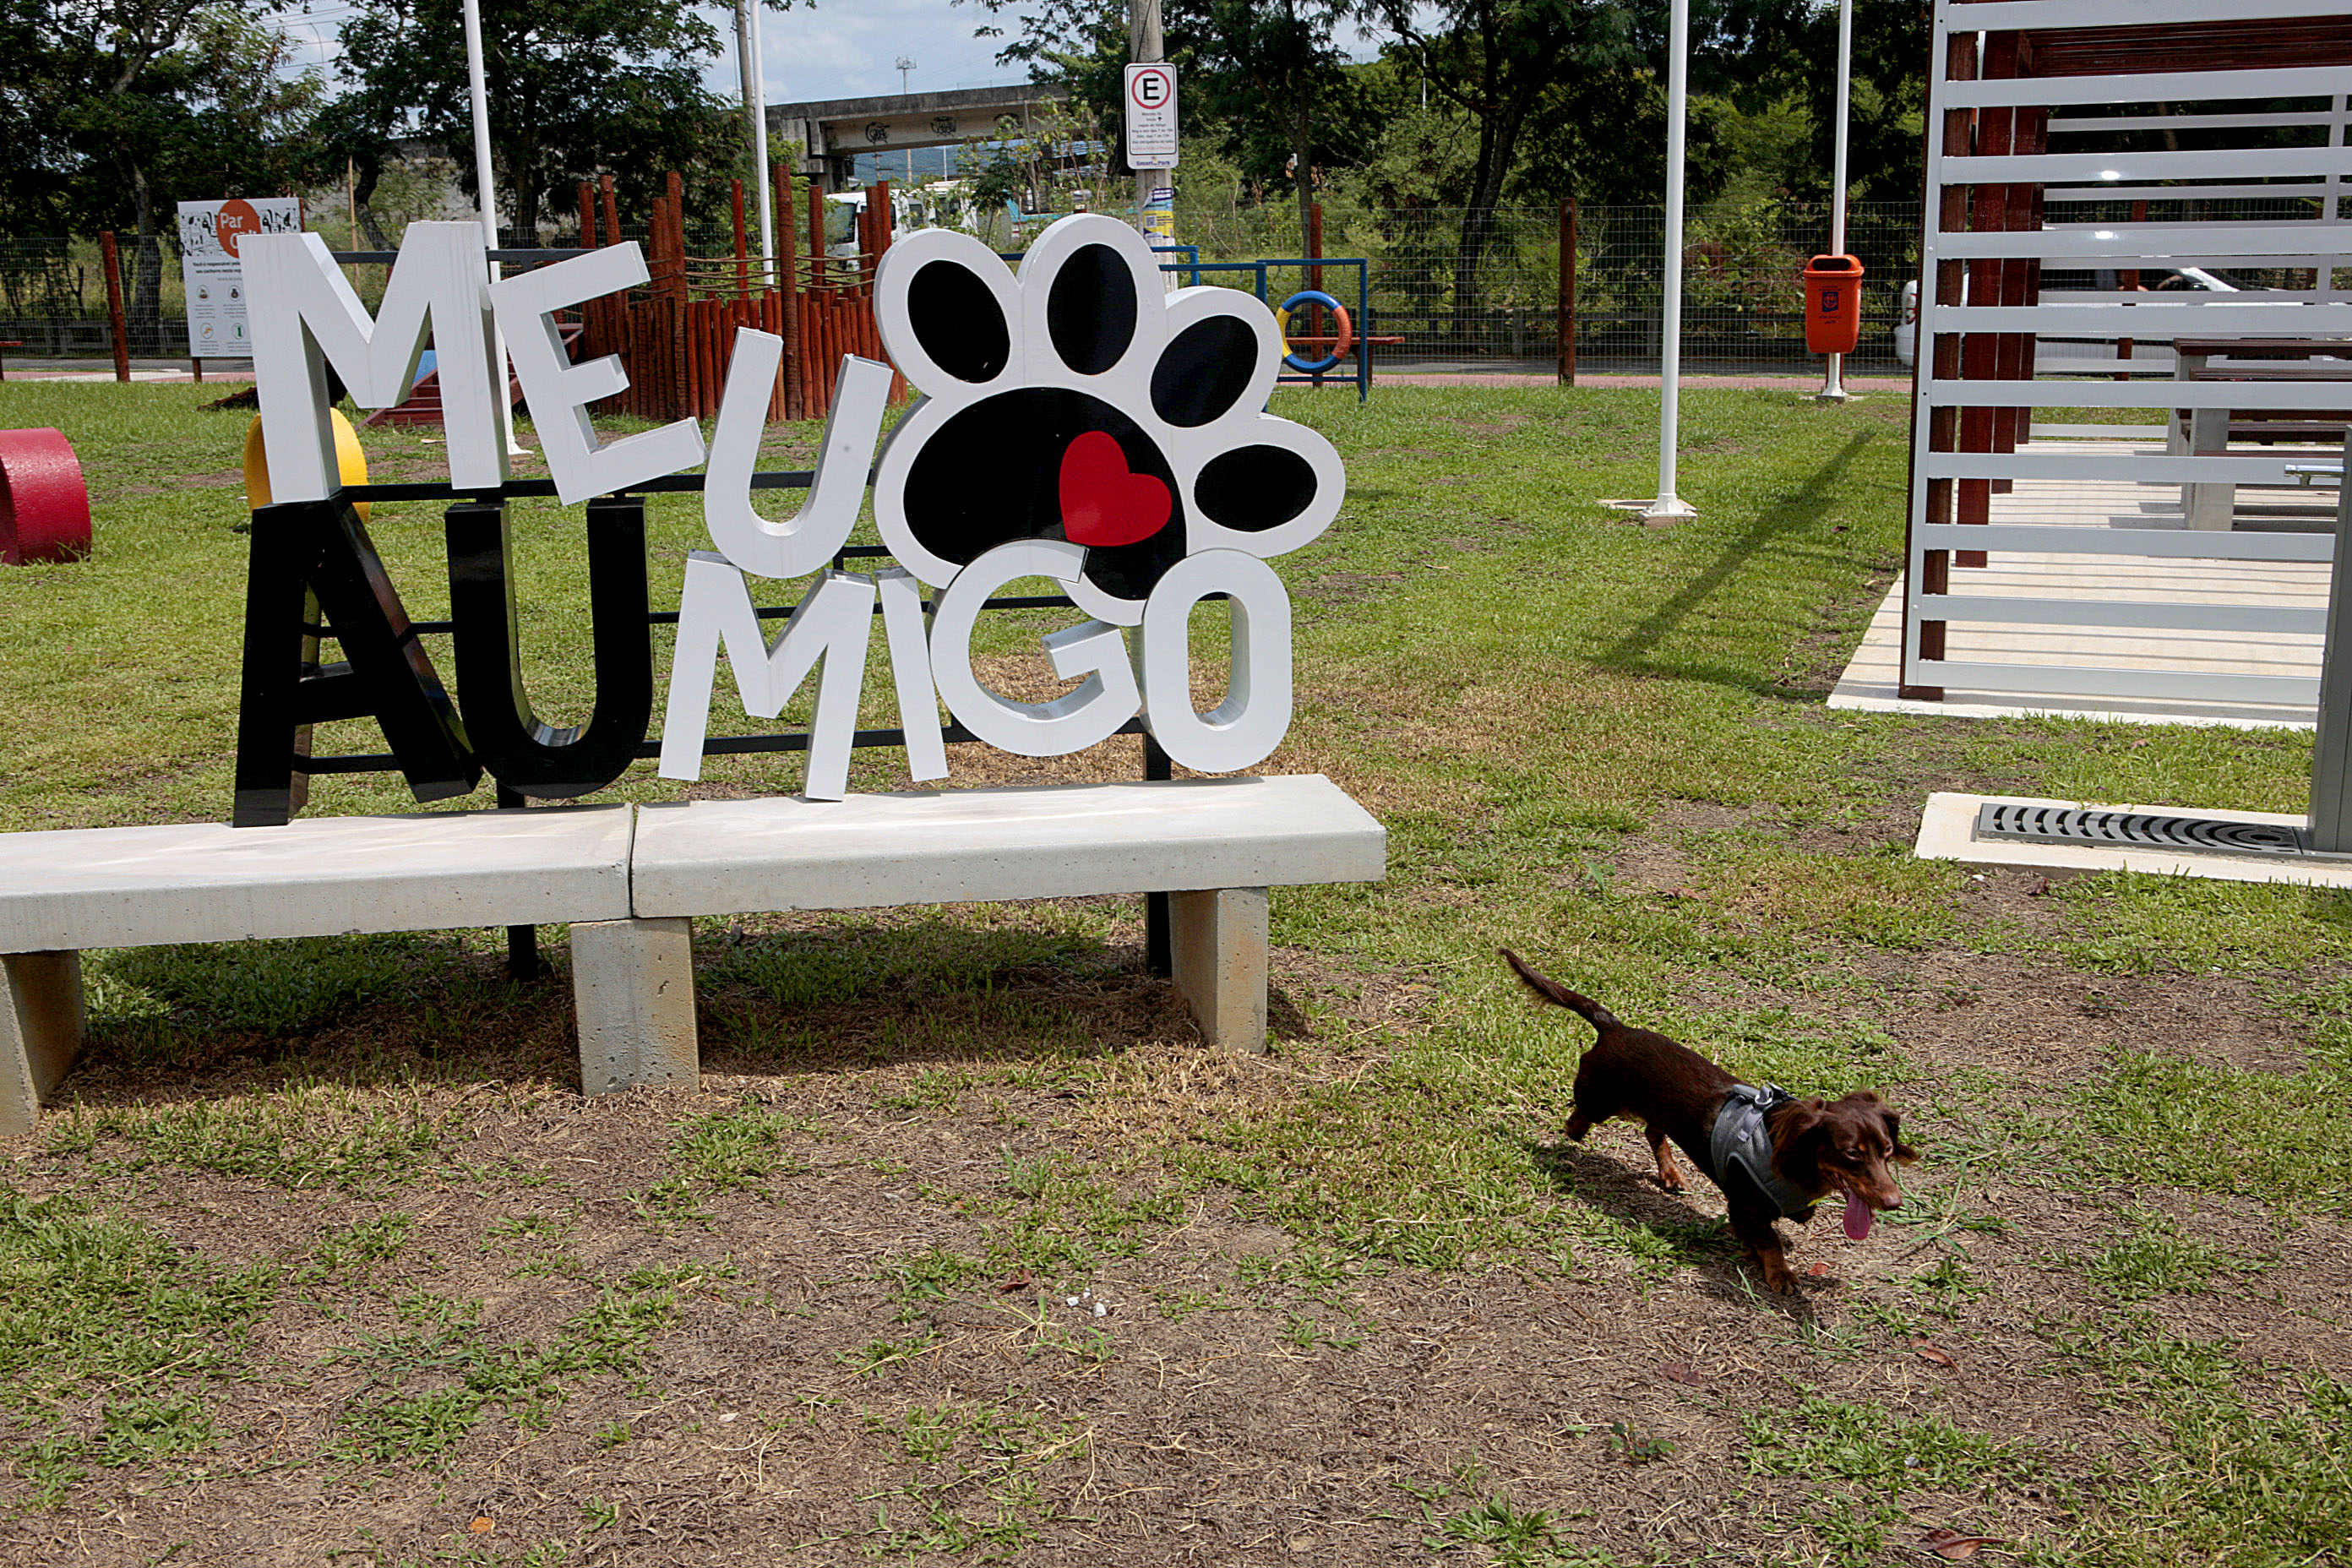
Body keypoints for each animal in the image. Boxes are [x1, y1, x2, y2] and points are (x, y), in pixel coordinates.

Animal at [1505, 950, 1909, 1298]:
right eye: (1851, 1154)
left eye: (1887, 1151)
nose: (1894, 1203)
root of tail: (1615, 1028)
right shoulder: (1744, 1203)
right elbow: (1769, 1241)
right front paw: (1780, 1274)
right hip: (1600, 1100)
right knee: (1581, 1118)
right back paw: (1575, 1132)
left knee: (1653, 1131)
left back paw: (1670, 1174)